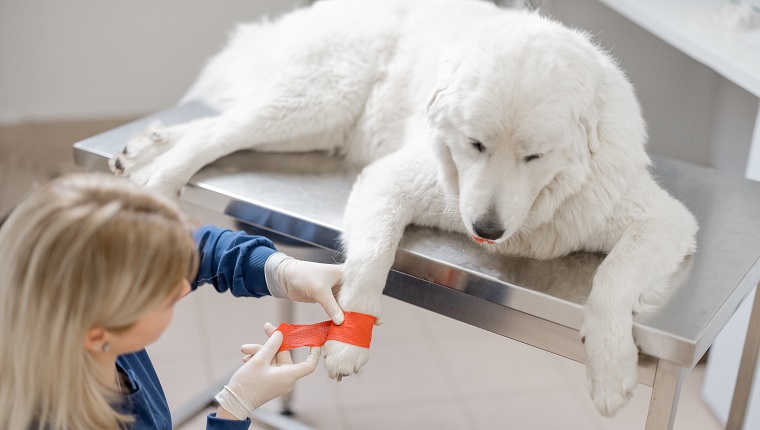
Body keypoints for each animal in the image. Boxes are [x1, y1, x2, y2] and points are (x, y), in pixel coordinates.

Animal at [110, 0, 696, 416]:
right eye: (475, 144)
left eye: (534, 155)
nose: (486, 228)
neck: (535, 207)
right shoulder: (391, 180)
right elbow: (374, 254)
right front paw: (350, 342)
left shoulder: (662, 221)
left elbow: (614, 279)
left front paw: (611, 367)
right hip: (318, 102)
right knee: (215, 134)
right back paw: (158, 182)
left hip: (312, 127)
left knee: (215, 124)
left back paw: (141, 150)